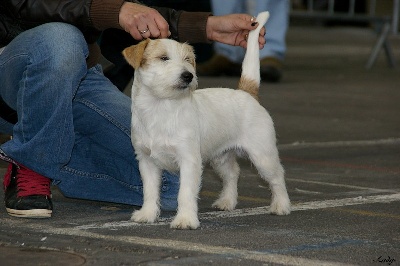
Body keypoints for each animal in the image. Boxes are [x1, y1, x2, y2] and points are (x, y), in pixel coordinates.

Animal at [122, 11, 290, 229]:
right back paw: (227, 201)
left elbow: (185, 193)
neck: (161, 108)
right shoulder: (147, 162)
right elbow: (150, 191)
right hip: (221, 156)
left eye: (187, 59)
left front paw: (185, 219)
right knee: (232, 174)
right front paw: (147, 214)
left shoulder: (189, 161)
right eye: (163, 58)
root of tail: (246, 92)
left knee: (277, 177)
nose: (188, 75)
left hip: (263, 155)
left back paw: (282, 205)